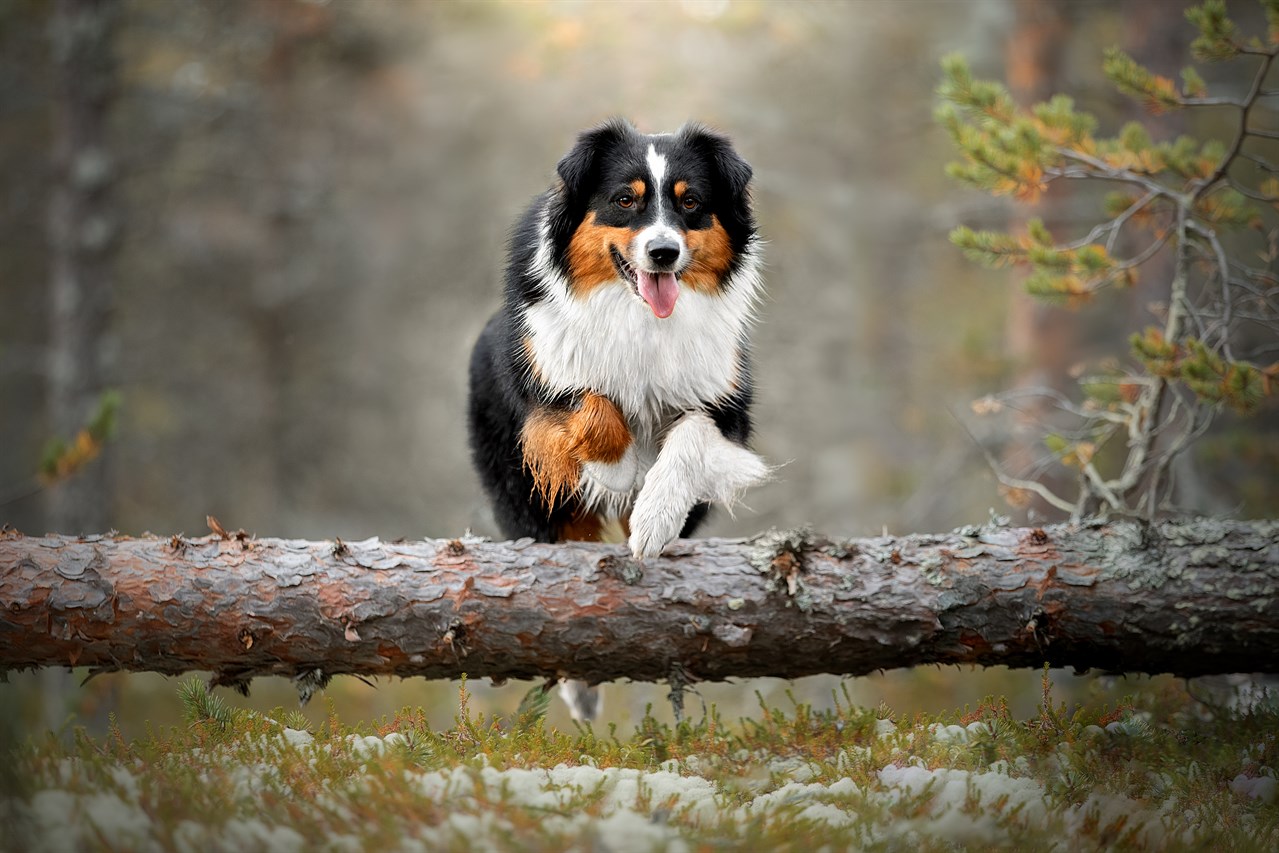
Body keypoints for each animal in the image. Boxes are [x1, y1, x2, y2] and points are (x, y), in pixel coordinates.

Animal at [470, 118, 767, 721]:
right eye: (624, 200)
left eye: (691, 203)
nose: (663, 252)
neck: (640, 315)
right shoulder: (541, 375)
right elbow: (592, 403)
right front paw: (615, 470)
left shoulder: (727, 404)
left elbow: (690, 434)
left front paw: (654, 515)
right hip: (522, 491)